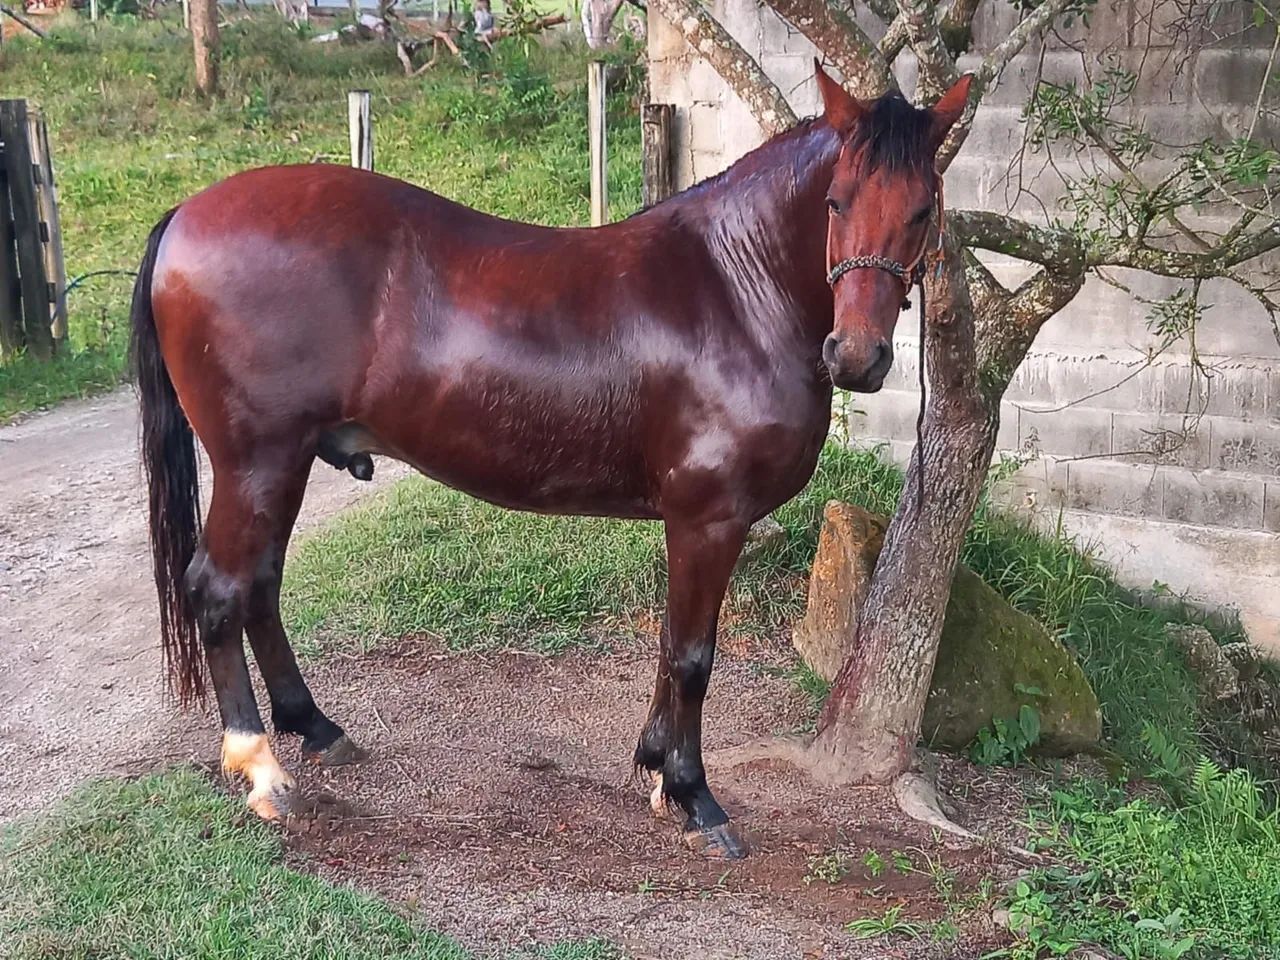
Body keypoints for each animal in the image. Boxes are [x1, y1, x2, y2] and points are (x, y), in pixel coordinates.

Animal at [130, 62, 971, 860]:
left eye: (922, 210)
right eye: (835, 202)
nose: (856, 356)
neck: (735, 287)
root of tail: (185, 215)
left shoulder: (692, 523)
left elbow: (670, 645)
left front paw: (656, 767)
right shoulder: (709, 517)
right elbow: (692, 656)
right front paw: (695, 797)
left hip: (284, 464)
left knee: (260, 587)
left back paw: (316, 728)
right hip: (258, 462)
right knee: (220, 589)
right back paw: (261, 768)